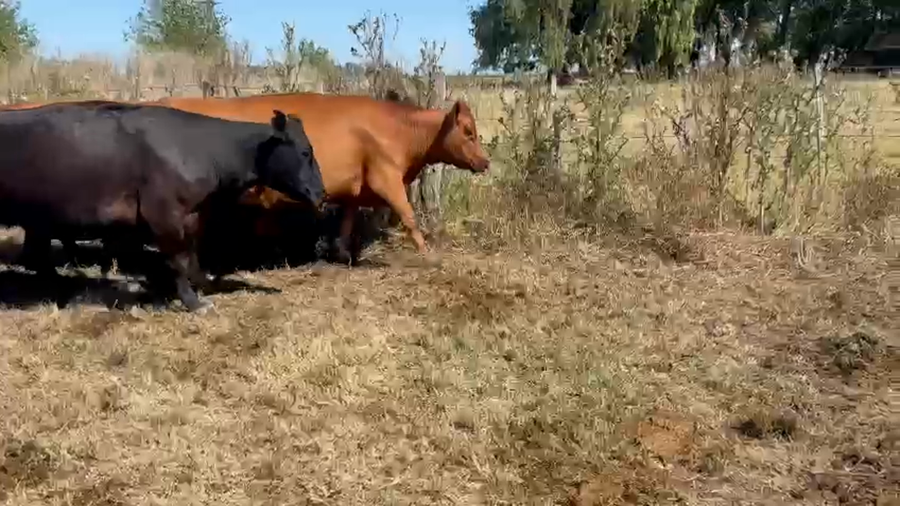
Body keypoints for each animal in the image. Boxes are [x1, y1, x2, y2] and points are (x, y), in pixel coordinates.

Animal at [0, 101, 325, 312]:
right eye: (305, 152)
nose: (321, 192)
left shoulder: (190, 213)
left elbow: (192, 256)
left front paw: (203, 285)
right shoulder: (163, 213)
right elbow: (178, 259)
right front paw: (193, 303)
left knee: (37, 257)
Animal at [151, 91, 491, 265]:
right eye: (468, 132)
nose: (485, 162)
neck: (397, 129)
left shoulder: (357, 187)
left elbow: (348, 221)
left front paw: (341, 253)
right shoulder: (386, 177)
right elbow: (409, 217)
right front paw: (428, 255)